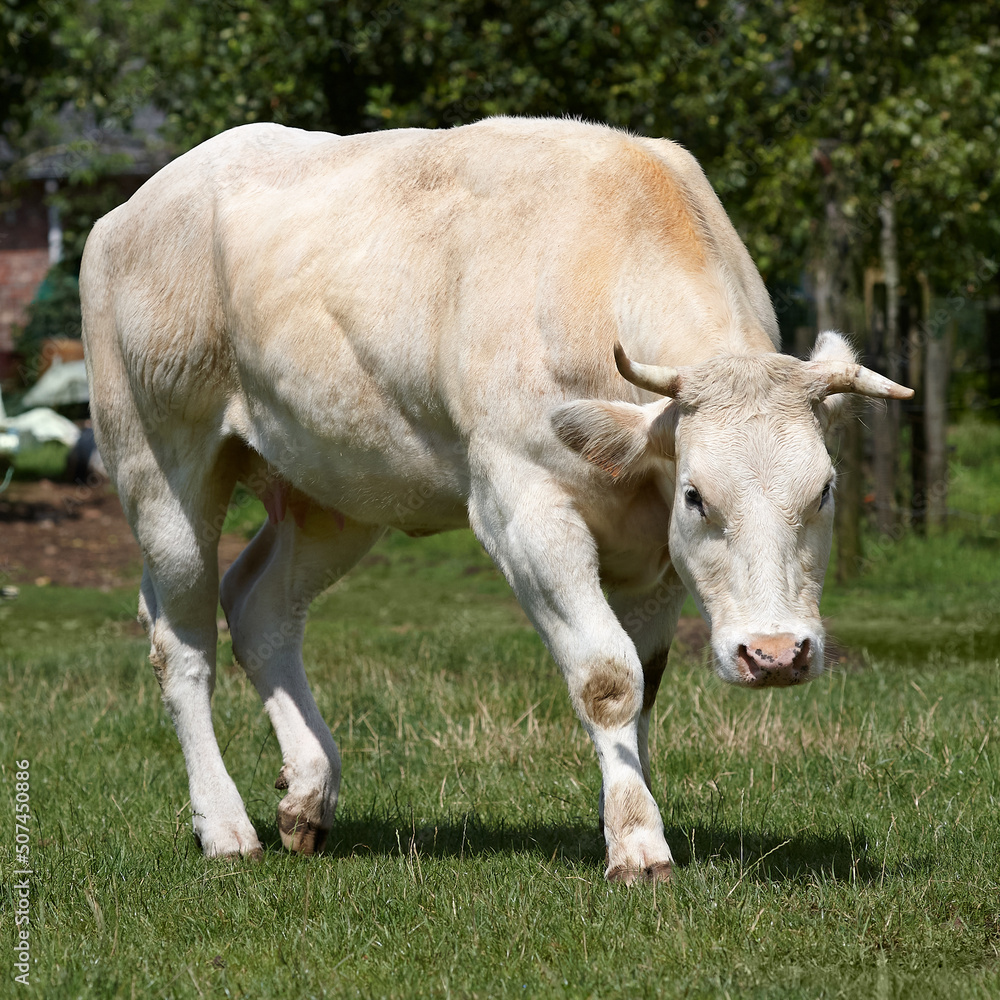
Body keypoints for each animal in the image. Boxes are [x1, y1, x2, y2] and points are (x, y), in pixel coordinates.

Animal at [82, 119, 912, 884]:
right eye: (698, 496)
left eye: (825, 489)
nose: (774, 655)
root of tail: (129, 211)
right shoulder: (522, 508)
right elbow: (608, 676)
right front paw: (639, 846)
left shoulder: (653, 554)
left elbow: (644, 685)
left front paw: (624, 815)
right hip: (158, 462)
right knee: (181, 641)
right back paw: (224, 826)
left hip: (335, 489)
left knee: (260, 608)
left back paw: (308, 795)